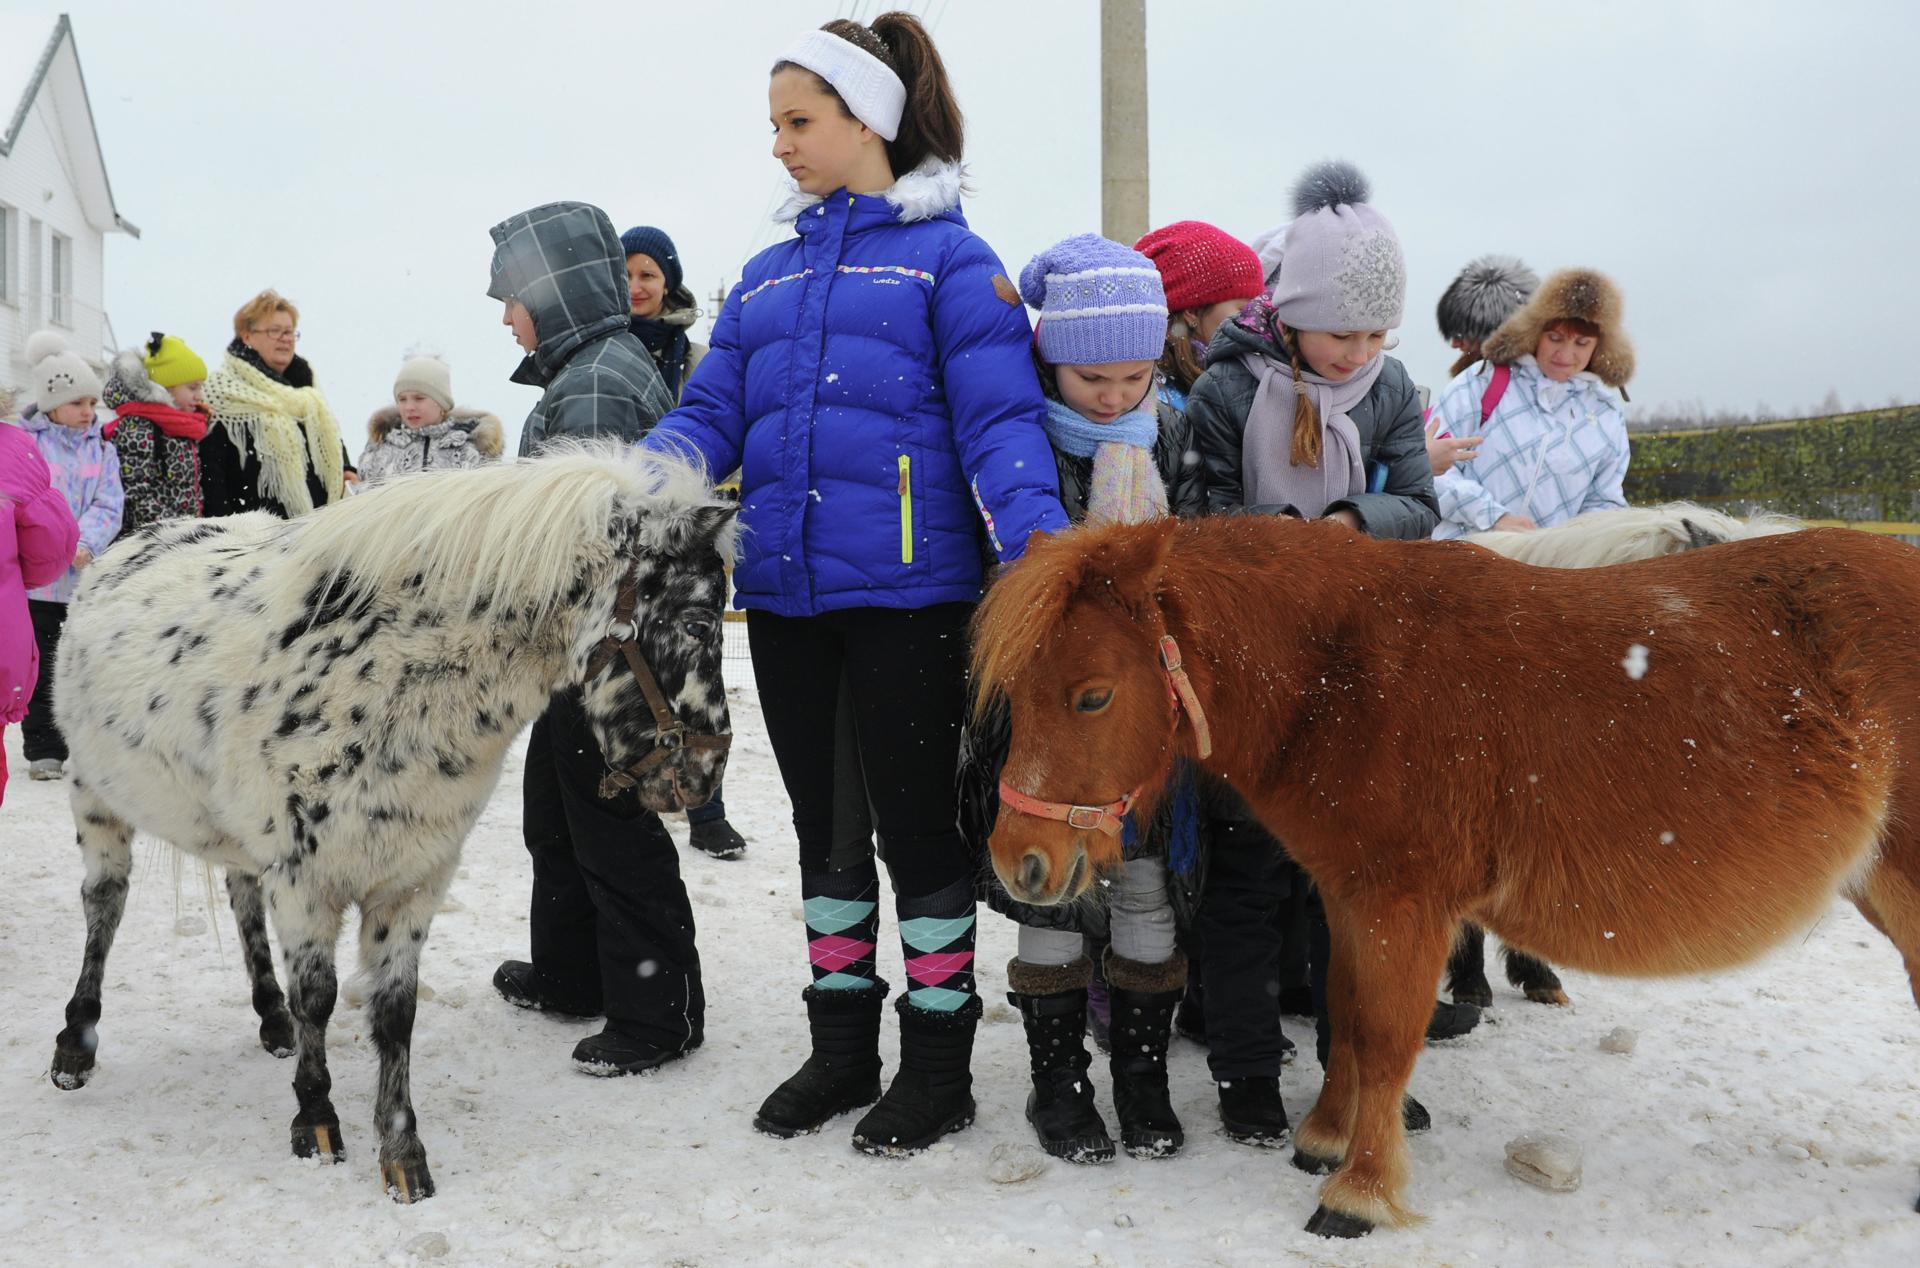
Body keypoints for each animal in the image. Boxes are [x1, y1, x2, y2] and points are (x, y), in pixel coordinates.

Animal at [46, 445, 733, 1198]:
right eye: (699, 624)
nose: (704, 774)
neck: (382, 681)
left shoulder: (413, 880)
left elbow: (394, 1013)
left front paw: (402, 1151)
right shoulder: (306, 880)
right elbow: (318, 998)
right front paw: (316, 1123)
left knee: (240, 897)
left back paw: (269, 1020)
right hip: (95, 800)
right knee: (104, 905)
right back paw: (75, 1046)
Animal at [975, 514, 1920, 1237]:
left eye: (1093, 696)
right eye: (1016, 691)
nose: (1020, 863)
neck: (1344, 673)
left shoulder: (1406, 905)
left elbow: (1388, 1038)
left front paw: (1358, 1194)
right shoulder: (1351, 898)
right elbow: (1347, 1016)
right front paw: (1324, 1138)